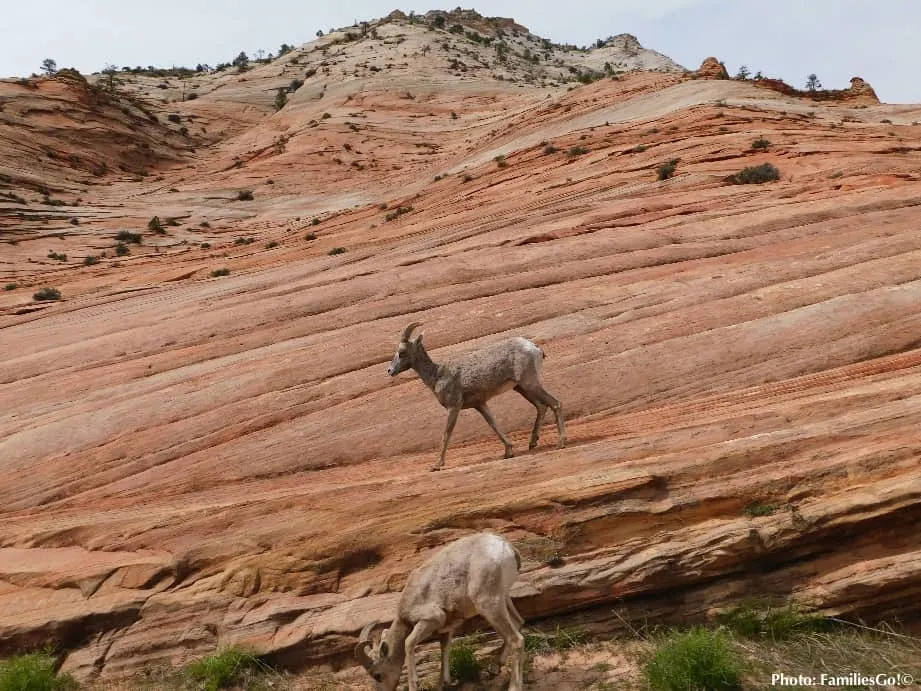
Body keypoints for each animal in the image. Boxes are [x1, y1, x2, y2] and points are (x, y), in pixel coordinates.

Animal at [354, 532, 524, 688]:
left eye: (377, 675)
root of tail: (507, 548)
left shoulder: (430, 619)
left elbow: (409, 643)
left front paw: (414, 684)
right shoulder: (447, 627)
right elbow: (444, 649)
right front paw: (443, 683)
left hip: (489, 604)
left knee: (516, 640)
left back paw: (513, 686)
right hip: (503, 599)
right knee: (518, 622)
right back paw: (495, 667)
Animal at [384, 324, 564, 474]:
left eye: (402, 352)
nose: (390, 371)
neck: (437, 376)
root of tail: (534, 348)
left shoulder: (454, 407)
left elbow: (446, 433)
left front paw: (436, 466)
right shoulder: (480, 404)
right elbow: (493, 424)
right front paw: (508, 452)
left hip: (529, 383)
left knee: (556, 404)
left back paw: (560, 443)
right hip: (521, 387)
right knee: (541, 406)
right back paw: (532, 443)